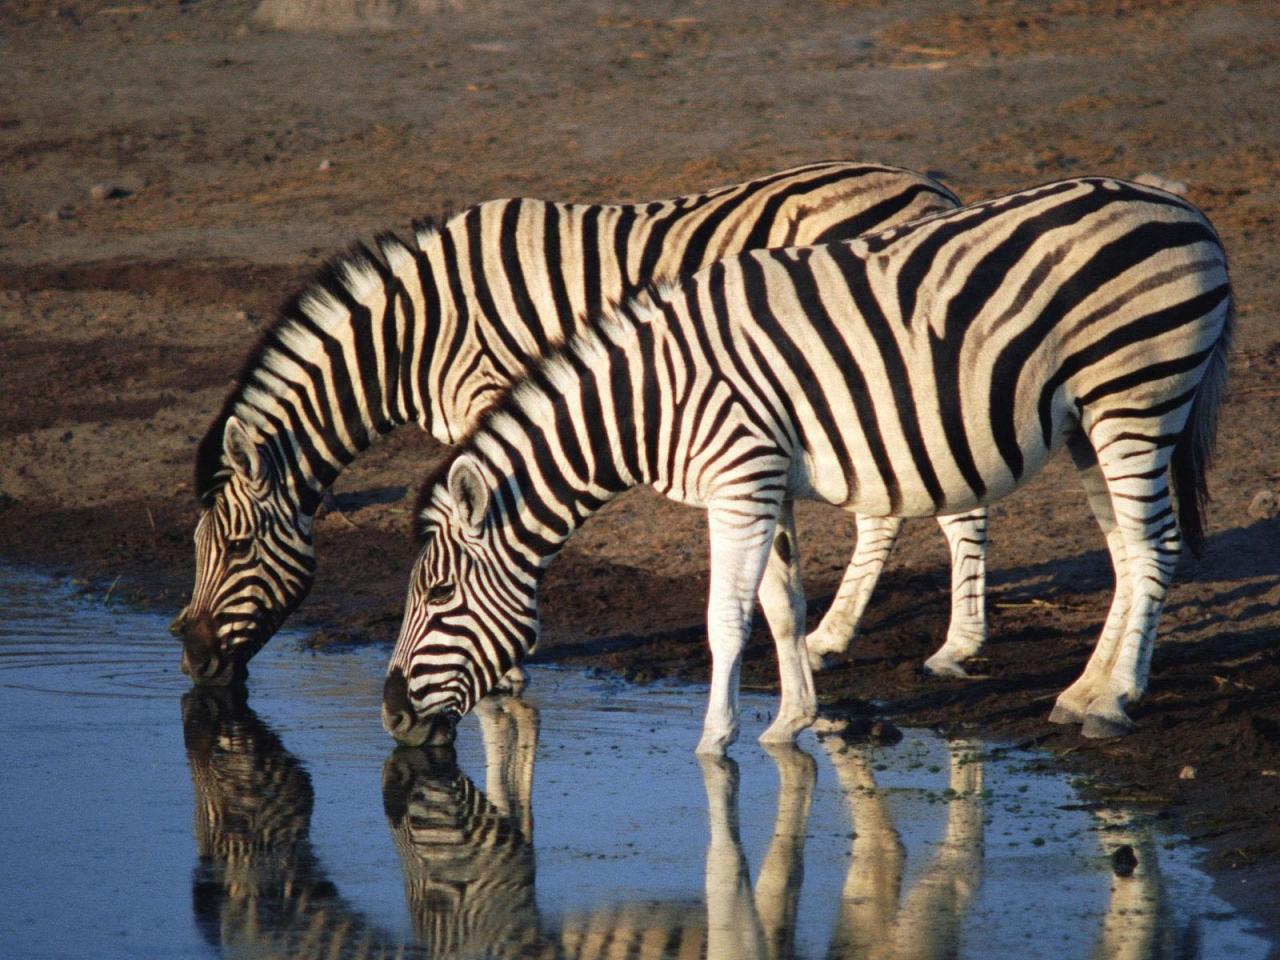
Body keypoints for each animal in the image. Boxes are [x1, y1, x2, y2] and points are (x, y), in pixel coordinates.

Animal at [172, 161, 988, 686]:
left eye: (235, 547)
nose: (192, 659)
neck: (412, 333)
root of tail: (932, 187)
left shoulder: (490, 392)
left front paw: (502, 662)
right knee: (887, 505)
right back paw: (831, 637)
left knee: (956, 500)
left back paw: (957, 647)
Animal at [378, 176, 1228, 757]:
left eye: (439, 593)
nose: (389, 713)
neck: (649, 398)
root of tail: (1182, 208)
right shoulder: (766, 483)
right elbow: (782, 604)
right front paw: (793, 720)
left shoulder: (740, 481)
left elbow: (727, 617)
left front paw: (713, 742)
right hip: (1090, 421)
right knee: (1125, 552)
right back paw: (1084, 689)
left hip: (1137, 397)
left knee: (1155, 547)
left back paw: (1115, 701)